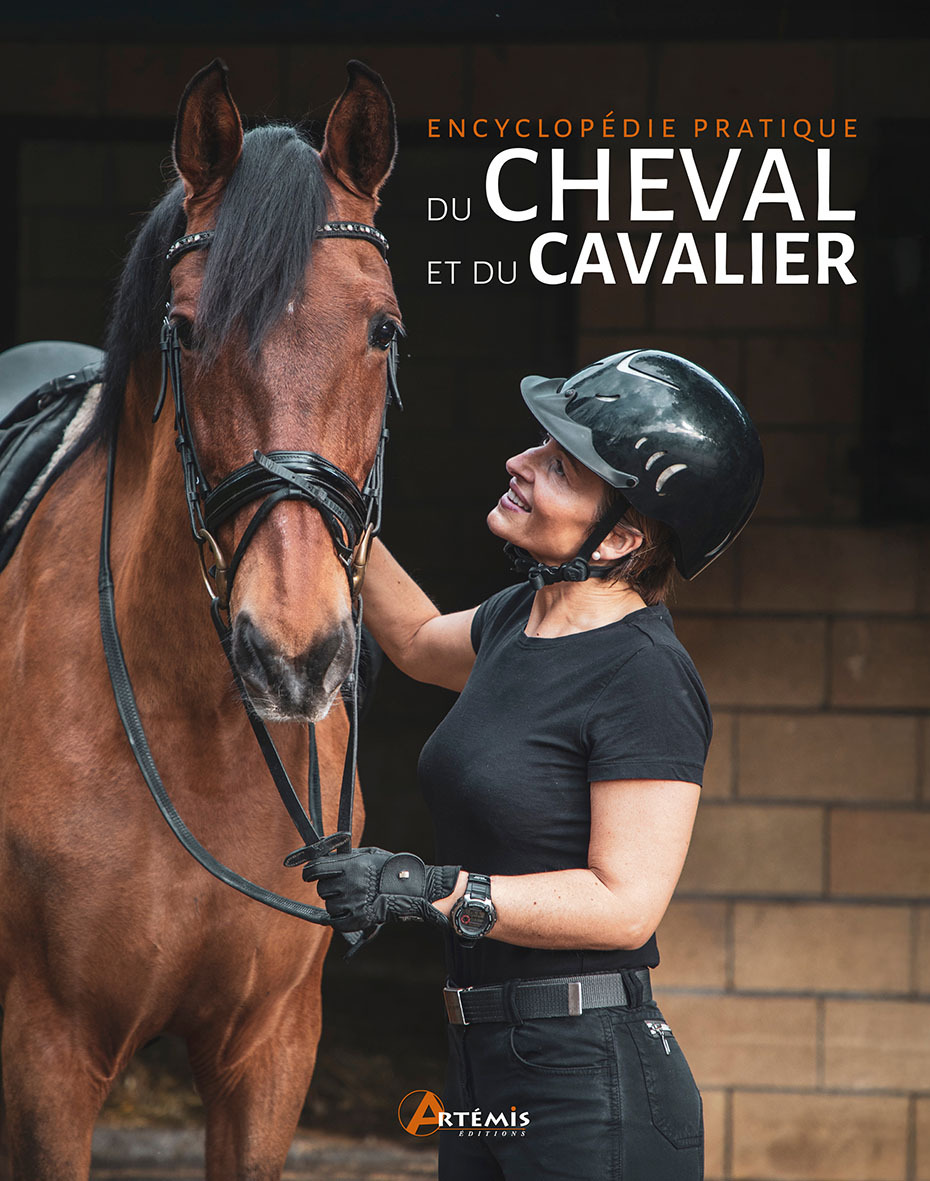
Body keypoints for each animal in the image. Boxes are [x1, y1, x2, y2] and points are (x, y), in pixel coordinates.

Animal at [0, 57, 400, 1180]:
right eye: (184, 329)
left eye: (384, 328)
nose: (294, 655)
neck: (199, 727)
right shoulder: (49, 1054)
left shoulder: (268, 1053)